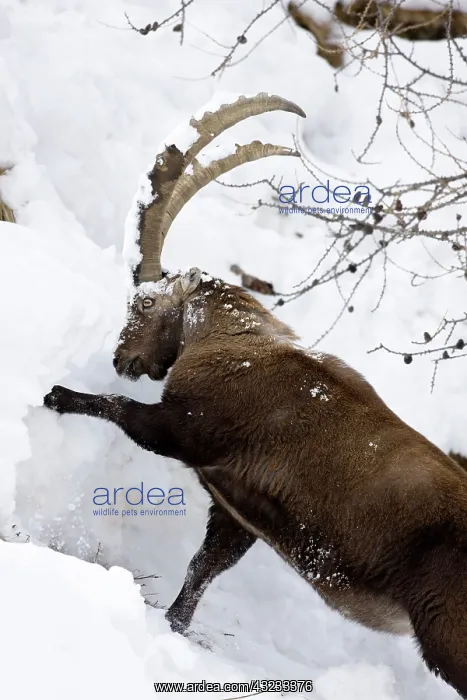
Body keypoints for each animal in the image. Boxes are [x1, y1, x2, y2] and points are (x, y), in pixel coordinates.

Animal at [44, 93, 467, 698]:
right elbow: (204, 566)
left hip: (449, 635)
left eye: (145, 303)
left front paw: (59, 395)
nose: (123, 359)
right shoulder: (239, 510)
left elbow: (124, 411)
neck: (236, 343)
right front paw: (173, 627)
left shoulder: (188, 430)